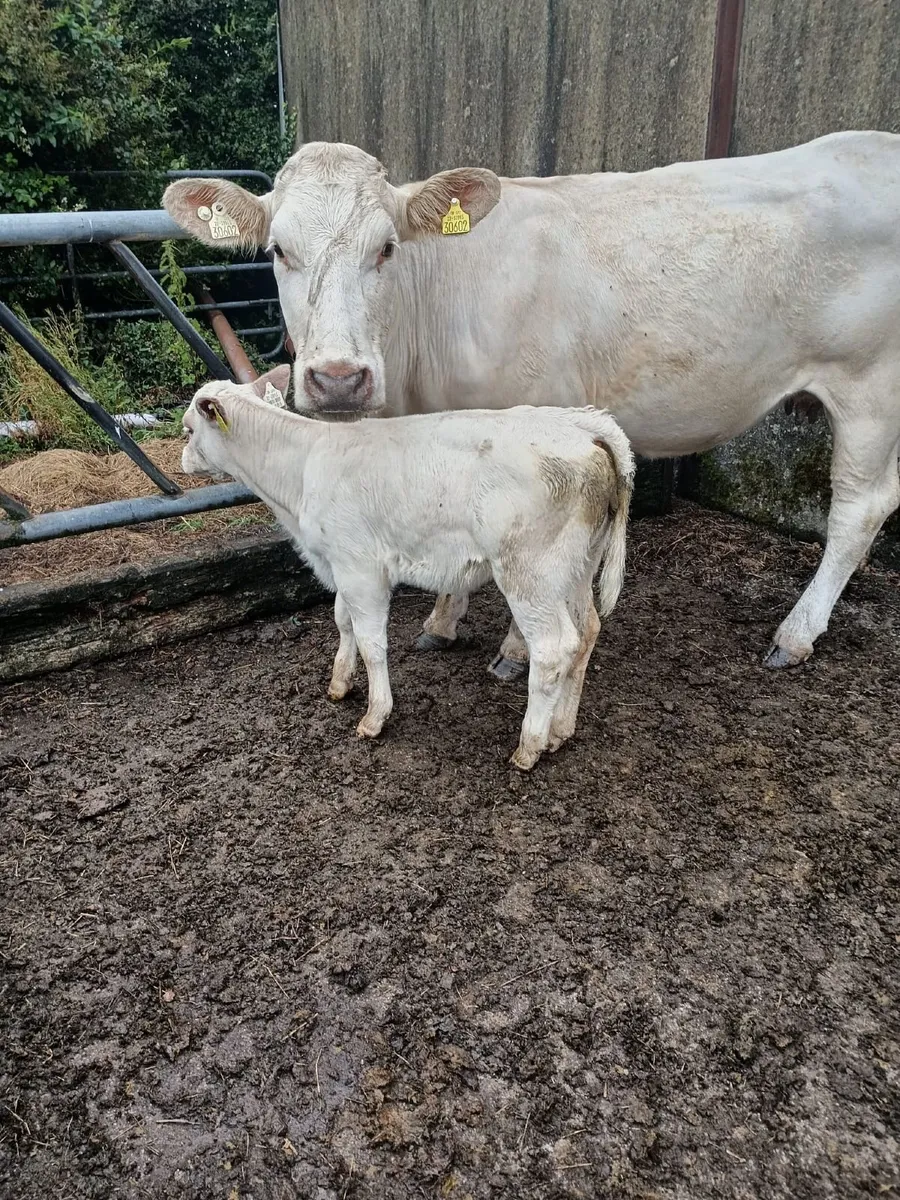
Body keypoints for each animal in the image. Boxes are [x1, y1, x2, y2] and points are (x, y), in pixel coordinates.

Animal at [164, 130, 900, 674]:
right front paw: (442, 621)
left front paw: (514, 650)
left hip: (869, 386)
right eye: (278, 250)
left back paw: (795, 635)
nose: (338, 379)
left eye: (387, 247)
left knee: (859, 508)